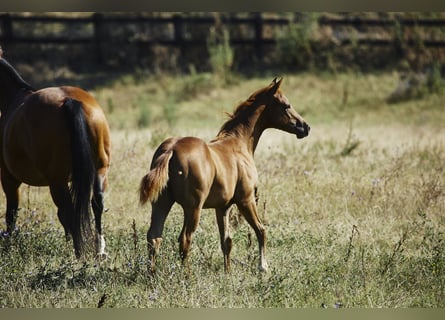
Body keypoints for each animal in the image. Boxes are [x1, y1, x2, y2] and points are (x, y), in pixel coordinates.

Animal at [0, 53, 110, 258]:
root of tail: (69, 102)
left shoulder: (9, 178)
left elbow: (11, 215)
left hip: (56, 182)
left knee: (71, 212)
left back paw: (79, 254)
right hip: (99, 170)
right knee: (95, 203)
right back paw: (98, 250)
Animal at [139, 78, 308, 272]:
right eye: (286, 105)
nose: (305, 127)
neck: (239, 144)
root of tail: (172, 149)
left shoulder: (223, 207)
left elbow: (227, 241)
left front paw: (228, 273)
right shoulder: (246, 199)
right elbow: (261, 230)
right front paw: (263, 267)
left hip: (161, 203)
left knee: (154, 237)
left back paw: (152, 275)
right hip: (193, 207)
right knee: (184, 240)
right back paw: (187, 276)